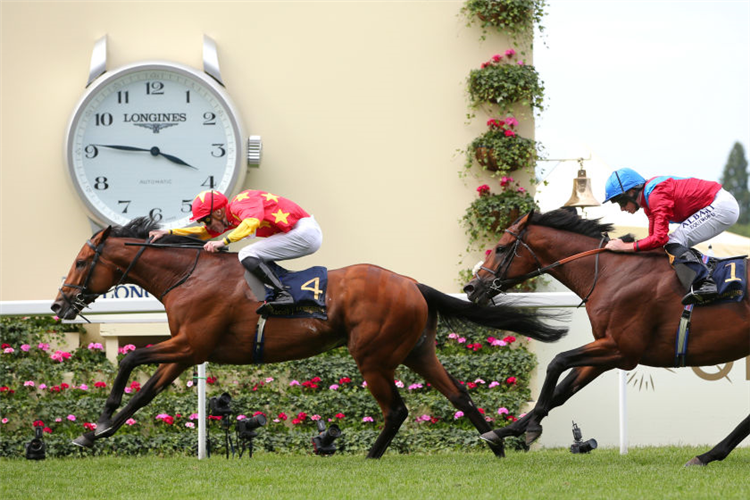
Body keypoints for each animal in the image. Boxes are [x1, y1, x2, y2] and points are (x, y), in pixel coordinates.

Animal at [51, 217, 568, 458]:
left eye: (81, 261)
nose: (58, 305)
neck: (190, 276)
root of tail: (409, 283)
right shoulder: (185, 351)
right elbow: (143, 392)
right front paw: (94, 433)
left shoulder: (191, 344)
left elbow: (128, 359)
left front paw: (98, 421)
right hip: (418, 351)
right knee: (459, 393)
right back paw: (495, 442)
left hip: (372, 355)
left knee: (397, 409)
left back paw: (371, 455)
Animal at [464, 209, 750, 466]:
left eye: (501, 248)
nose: (471, 287)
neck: (609, 273)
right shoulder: (607, 351)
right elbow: (562, 390)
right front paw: (500, 432)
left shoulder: (622, 350)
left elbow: (557, 361)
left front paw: (532, 425)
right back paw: (709, 455)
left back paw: (708, 455)